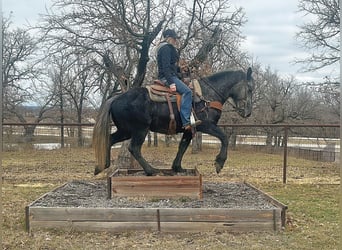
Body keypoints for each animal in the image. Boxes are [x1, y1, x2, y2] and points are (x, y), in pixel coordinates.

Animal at [93, 67, 254, 176]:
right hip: (139, 130)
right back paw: (151, 170)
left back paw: (101, 166)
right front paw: (219, 163)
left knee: (110, 140)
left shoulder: (189, 129)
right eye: (250, 88)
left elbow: (182, 147)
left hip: (125, 131)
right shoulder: (206, 125)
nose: (248, 112)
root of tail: (116, 98)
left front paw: (177, 167)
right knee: (134, 148)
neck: (207, 96)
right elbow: (224, 138)